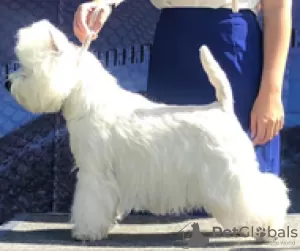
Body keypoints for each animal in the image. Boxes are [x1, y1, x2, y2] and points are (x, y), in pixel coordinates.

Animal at [7, 20, 290, 243]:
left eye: (27, 68)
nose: (8, 83)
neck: (87, 101)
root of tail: (223, 108)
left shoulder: (94, 172)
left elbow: (91, 203)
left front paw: (86, 232)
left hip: (228, 175)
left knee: (260, 195)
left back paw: (266, 228)